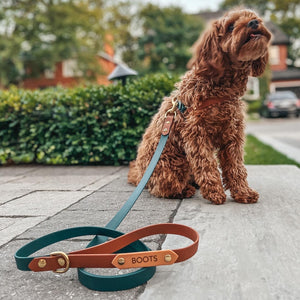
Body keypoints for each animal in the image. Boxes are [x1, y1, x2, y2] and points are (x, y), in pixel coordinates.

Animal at [127, 10, 274, 205]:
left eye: (254, 17)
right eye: (231, 26)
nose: (254, 23)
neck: (219, 88)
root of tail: (141, 175)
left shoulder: (233, 135)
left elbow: (236, 167)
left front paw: (243, 192)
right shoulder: (196, 134)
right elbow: (206, 165)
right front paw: (215, 193)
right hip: (174, 163)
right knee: (162, 188)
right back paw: (184, 190)